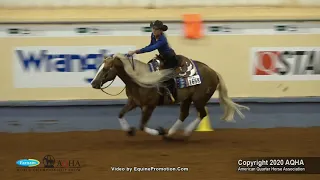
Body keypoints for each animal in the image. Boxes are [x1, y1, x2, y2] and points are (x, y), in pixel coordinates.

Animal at [90, 53, 250, 138]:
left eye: (105, 69)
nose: (93, 83)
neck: (140, 79)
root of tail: (213, 72)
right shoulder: (133, 102)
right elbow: (120, 114)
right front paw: (129, 130)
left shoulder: (149, 106)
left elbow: (142, 126)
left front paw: (158, 131)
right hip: (187, 99)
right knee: (184, 114)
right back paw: (171, 133)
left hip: (198, 99)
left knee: (202, 113)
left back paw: (185, 132)